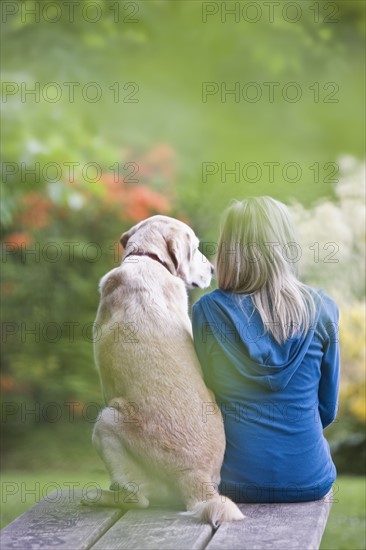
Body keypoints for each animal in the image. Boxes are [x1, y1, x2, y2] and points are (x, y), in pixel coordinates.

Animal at [87, 217, 244, 532]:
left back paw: (104, 497)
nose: (212, 270)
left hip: (106, 420)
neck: (149, 259)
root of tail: (194, 476)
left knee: (139, 499)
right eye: (195, 249)